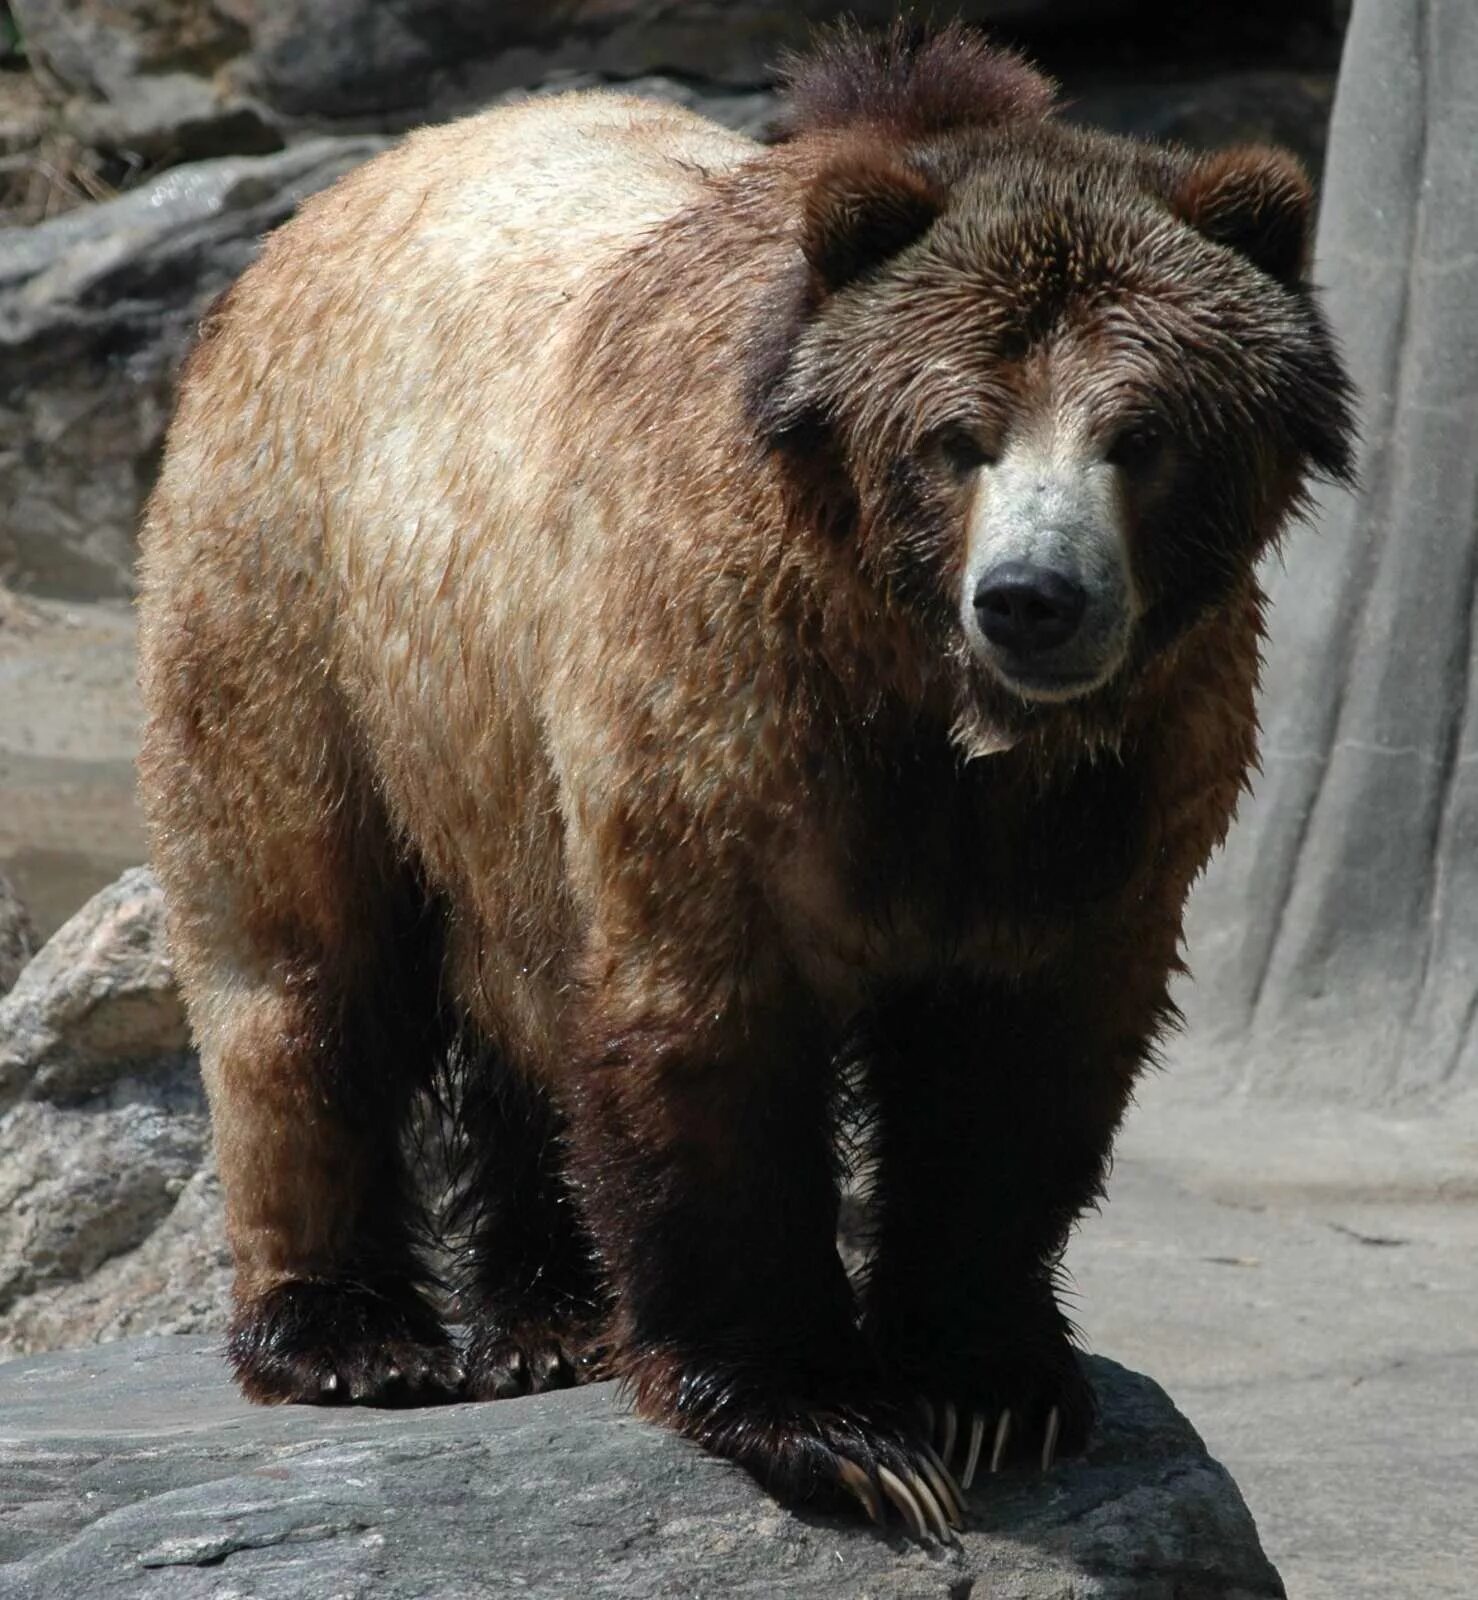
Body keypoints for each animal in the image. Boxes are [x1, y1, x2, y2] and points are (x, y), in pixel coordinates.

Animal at [138, 15, 1350, 1536]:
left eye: (1140, 435)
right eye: (957, 436)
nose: (1032, 599)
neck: (931, 699)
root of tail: (353, 189)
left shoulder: (1128, 784)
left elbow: (1021, 1063)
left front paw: (988, 1382)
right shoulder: (727, 701)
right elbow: (707, 1032)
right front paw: (832, 1425)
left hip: (486, 752)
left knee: (517, 995)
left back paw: (552, 1311)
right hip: (305, 609)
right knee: (299, 957)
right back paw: (350, 1334)